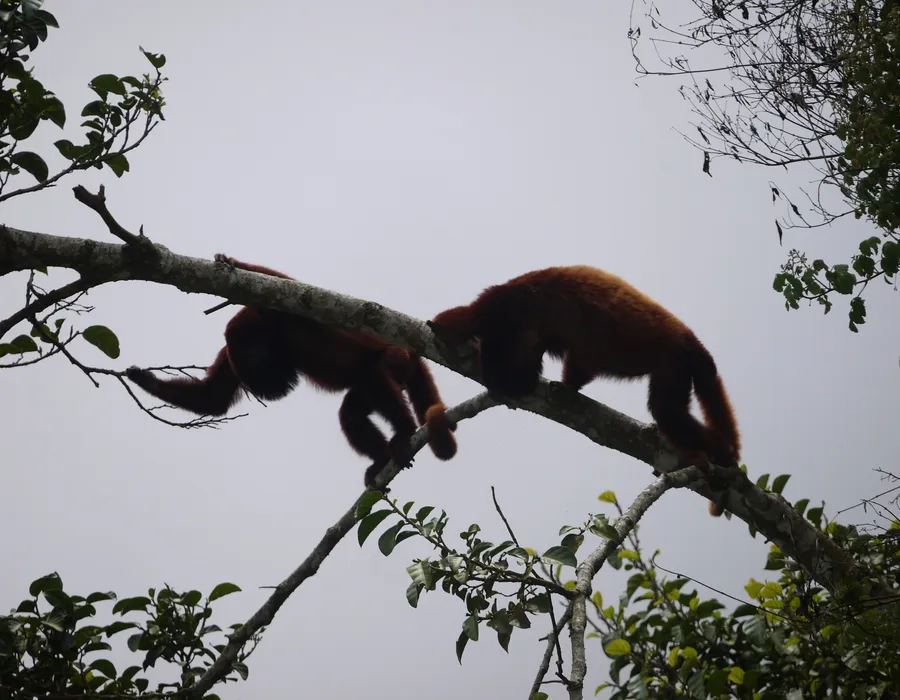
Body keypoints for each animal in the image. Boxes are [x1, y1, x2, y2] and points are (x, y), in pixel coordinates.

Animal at [126, 254, 457, 488]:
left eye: (258, 359)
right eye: (249, 364)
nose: (267, 387)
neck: (274, 334)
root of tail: (411, 351)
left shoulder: (286, 313)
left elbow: (288, 284)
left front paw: (232, 262)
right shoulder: (228, 355)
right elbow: (213, 397)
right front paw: (145, 379)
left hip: (394, 358)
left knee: (376, 377)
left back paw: (404, 433)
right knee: (351, 412)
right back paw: (381, 460)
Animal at [428, 265, 740, 516]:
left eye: (497, 356)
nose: (492, 371)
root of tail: (692, 342)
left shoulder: (509, 312)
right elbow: (571, 362)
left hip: (674, 361)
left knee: (667, 412)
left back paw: (723, 457)